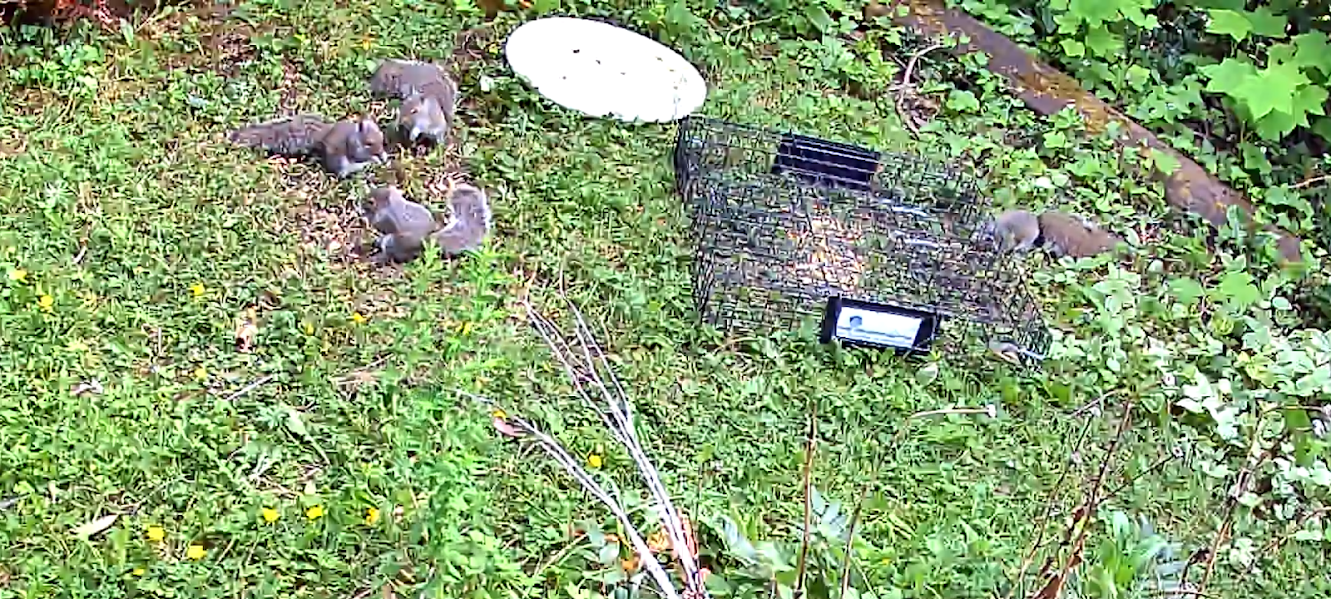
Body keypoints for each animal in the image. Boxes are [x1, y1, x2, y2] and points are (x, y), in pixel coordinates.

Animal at [228, 115, 388, 178]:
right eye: (369, 143)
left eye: (382, 137)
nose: (380, 152)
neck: (355, 136)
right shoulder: (352, 146)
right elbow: (359, 155)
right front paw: (375, 159)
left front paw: (384, 157)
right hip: (340, 162)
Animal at [362, 177, 492, 265]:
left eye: (370, 201)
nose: (359, 204)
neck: (391, 202)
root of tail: (428, 243)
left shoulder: (388, 217)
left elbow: (382, 226)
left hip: (393, 243)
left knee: (390, 254)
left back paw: (378, 258)